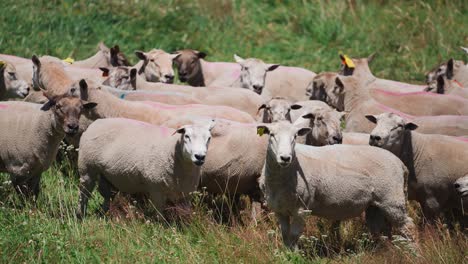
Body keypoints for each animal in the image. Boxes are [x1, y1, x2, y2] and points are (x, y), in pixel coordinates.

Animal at [76, 118, 215, 218]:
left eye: (209, 138)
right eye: (187, 136)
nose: (199, 156)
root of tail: (96, 122)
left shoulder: (186, 194)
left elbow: (185, 215)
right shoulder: (156, 189)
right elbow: (159, 215)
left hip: (106, 174)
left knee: (106, 195)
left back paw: (104, 214)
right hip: (87, 167)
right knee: (84, 194)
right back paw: (80, 215)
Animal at [258, 120, 414, 249]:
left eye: (295, 136)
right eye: (271, 134)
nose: (285, 158)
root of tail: (400, 163)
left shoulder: (302, 209)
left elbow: (294, 236)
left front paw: (295, 255)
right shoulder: (280, 210)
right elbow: (285, 235)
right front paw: (287, 254)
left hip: (392, 199)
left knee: (408, 226)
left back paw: (413, 253)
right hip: (376, 205)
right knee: (380, 230)